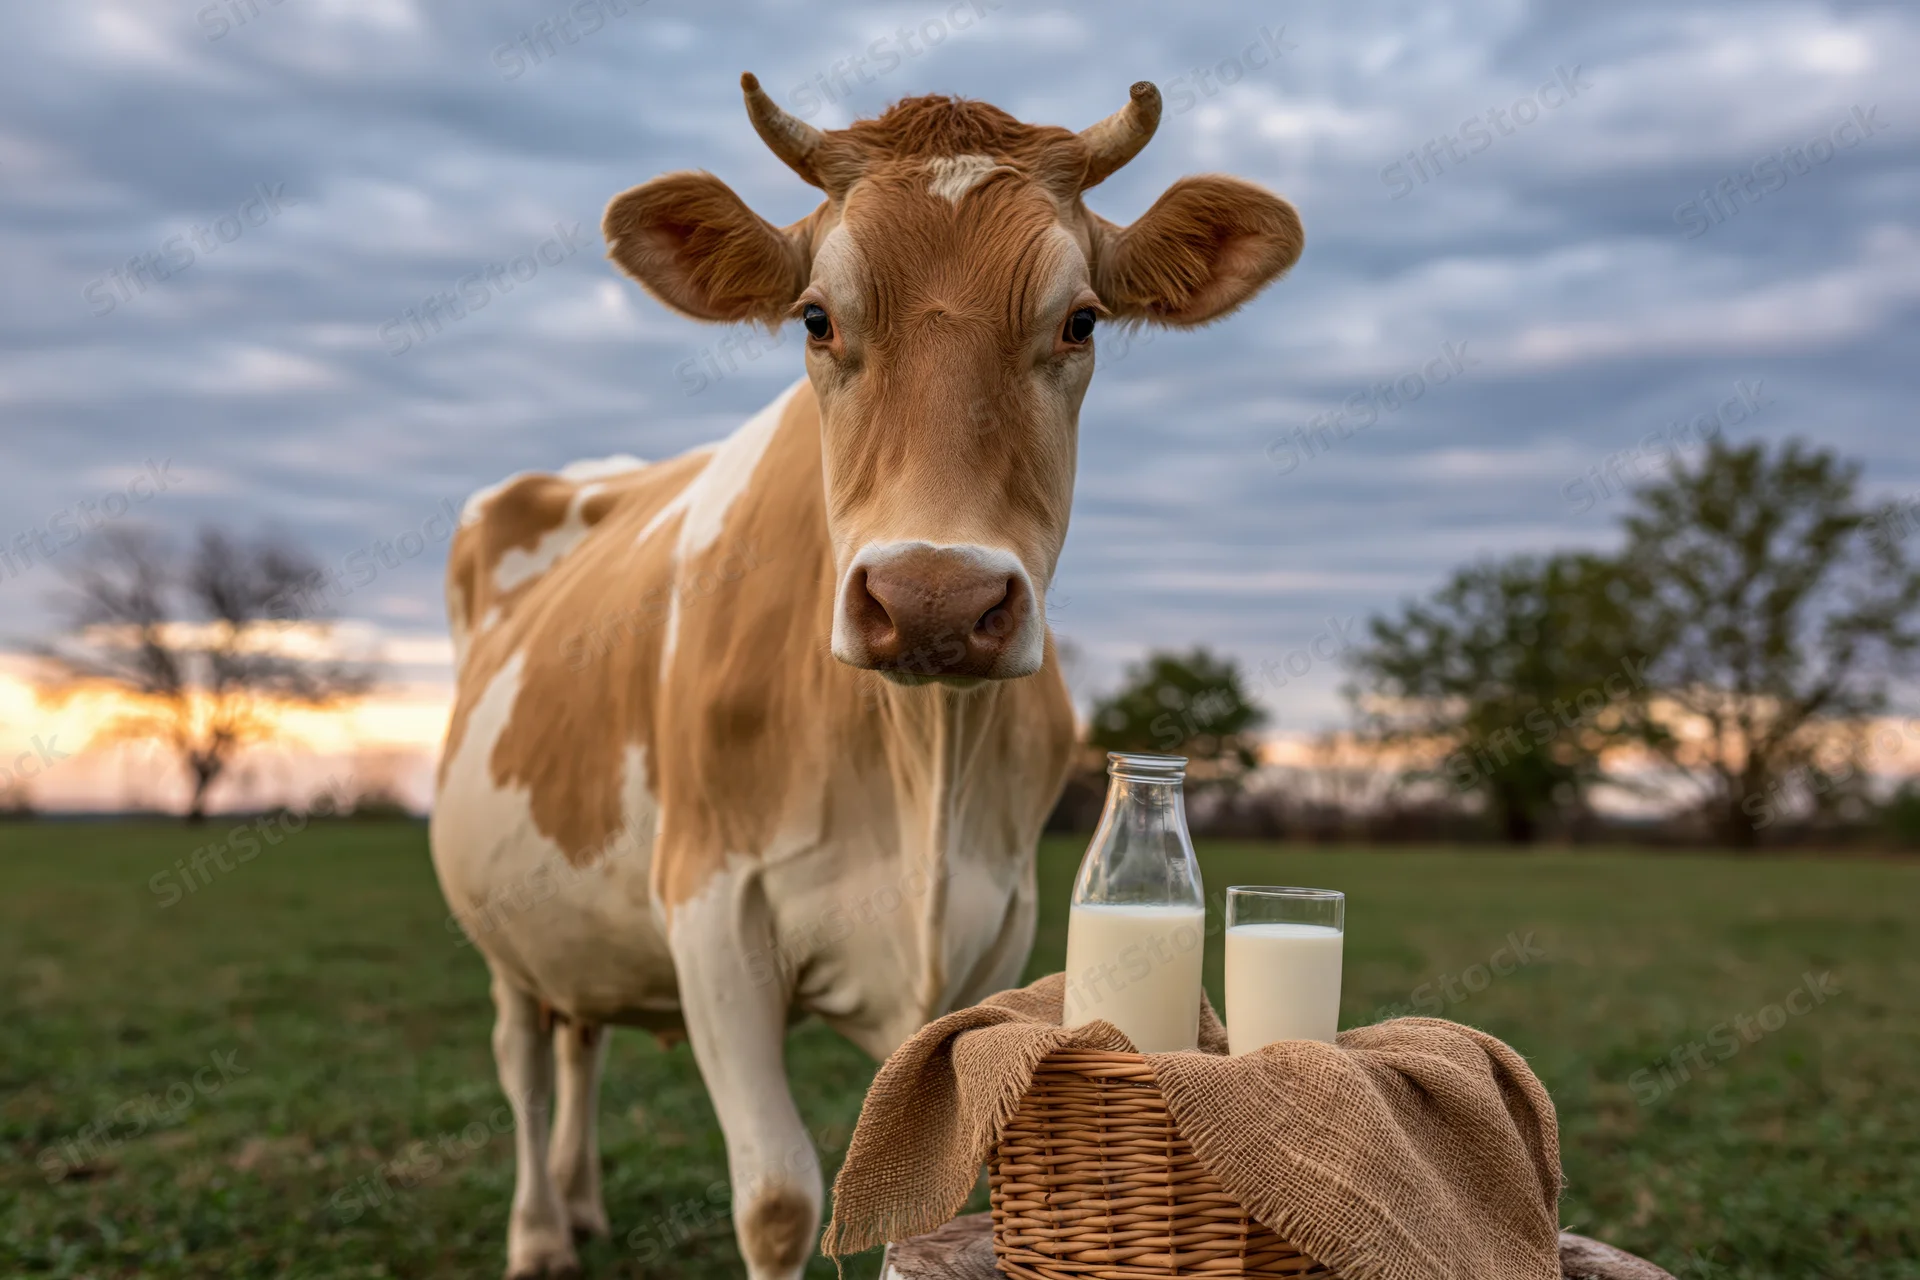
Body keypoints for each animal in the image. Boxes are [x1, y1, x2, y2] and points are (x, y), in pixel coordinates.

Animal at [430, 75, 1302, 1279]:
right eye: (815, 316)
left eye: (1079, 320)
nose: (934, 596)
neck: (916, 766)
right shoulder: (712, 911)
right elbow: (779, 1200)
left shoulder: (997, 921)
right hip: (497, 918)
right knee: (522, 1058)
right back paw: (541, 1233)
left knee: (581, 1040)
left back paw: (584, 1202)